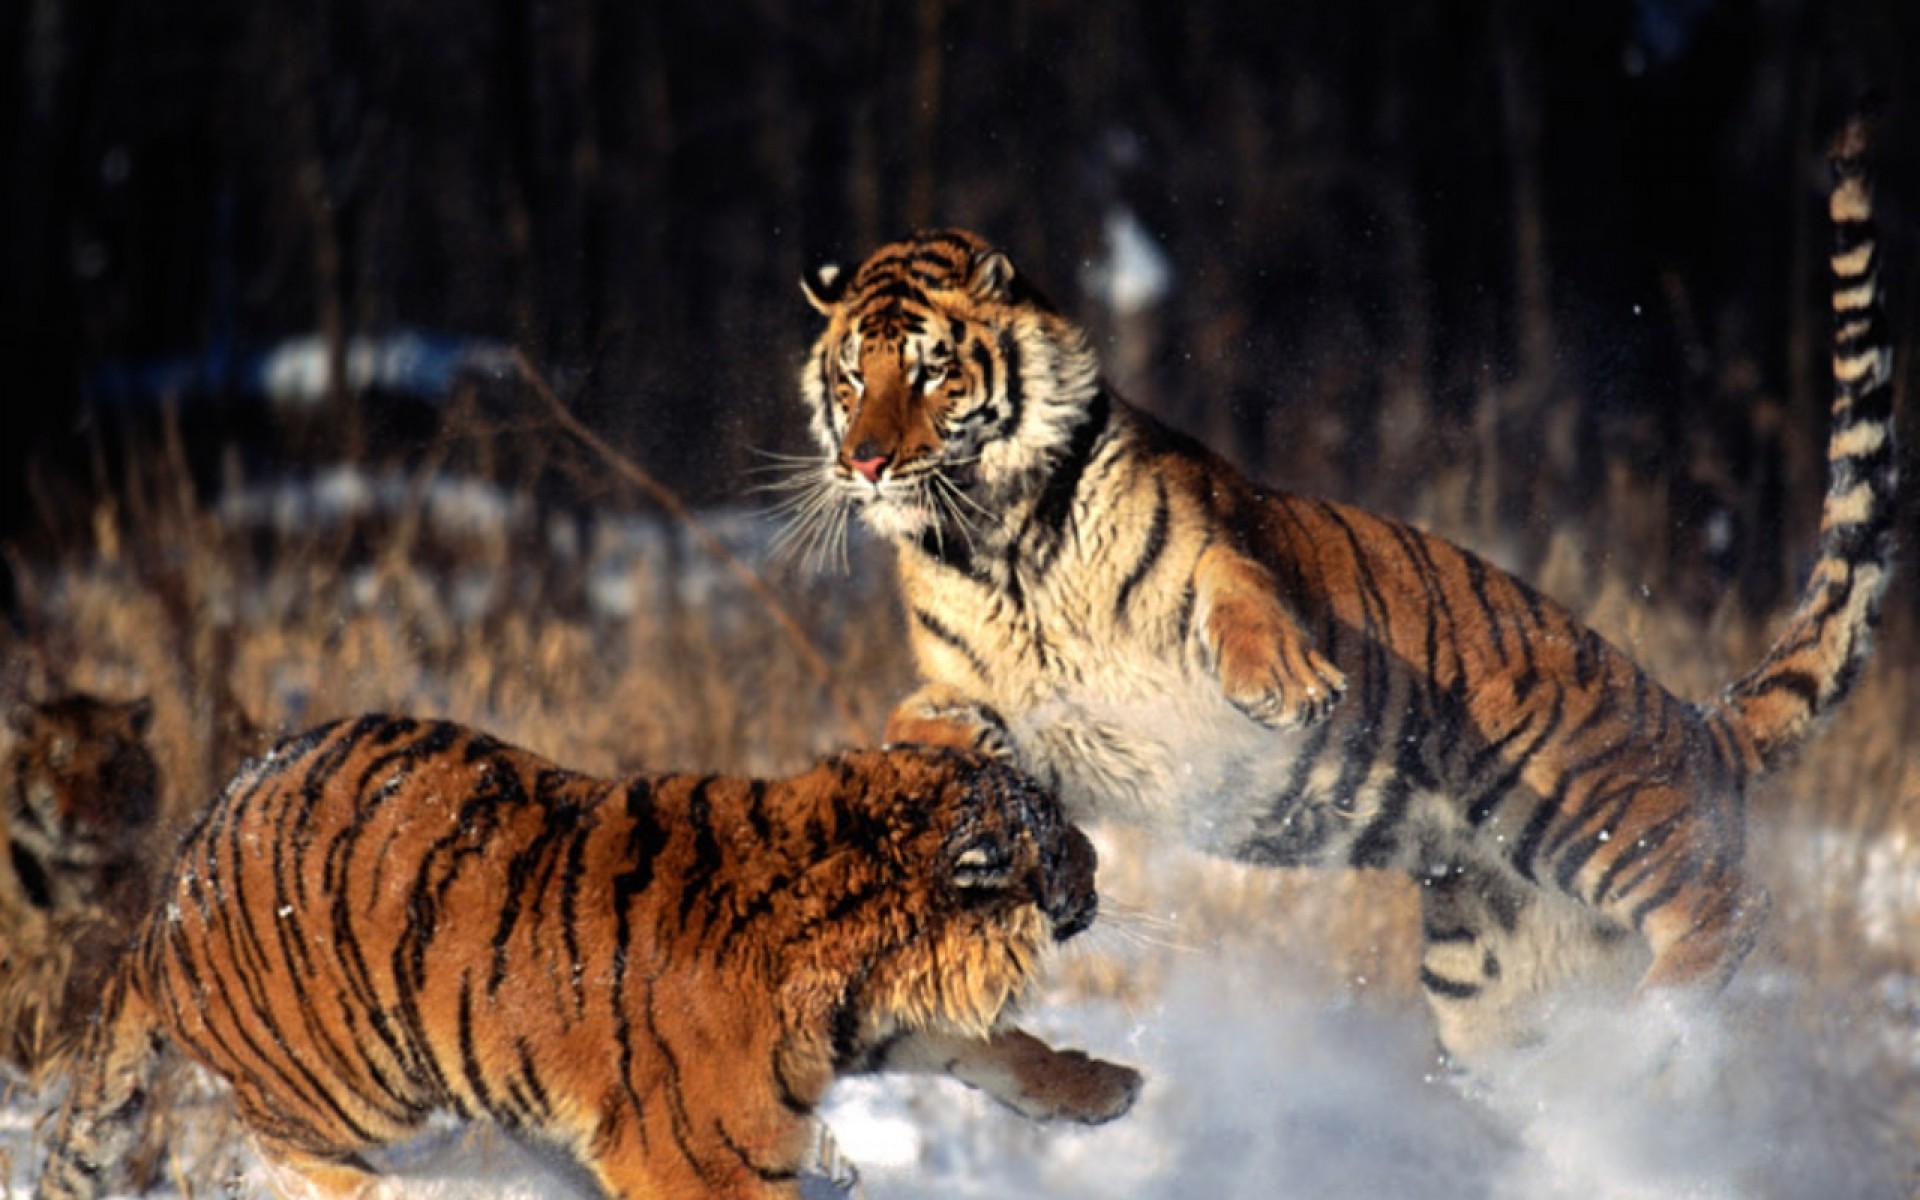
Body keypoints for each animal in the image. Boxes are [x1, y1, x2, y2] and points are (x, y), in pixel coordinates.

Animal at [36, 715, 1121, 1200]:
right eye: (1055, 834)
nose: (1101, 863)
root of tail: (164, 908)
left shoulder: (872, 1028)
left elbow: (1001, 1048)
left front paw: (1108, 1091)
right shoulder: (698, 1163)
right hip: (344, 1084)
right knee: (289, 1151)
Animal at [787, 109, 1896, 1065]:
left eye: (930, 372)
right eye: (850, 379)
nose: (865, 461)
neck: (994, 540)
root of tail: (1701, 720)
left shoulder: (1218, 541)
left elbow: (1239, 596)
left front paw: (1288, 687)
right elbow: (916, 720)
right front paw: (953, 754)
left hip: (1581, 801)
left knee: (1728, 907)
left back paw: (1658, 1029)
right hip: (1488, 981)